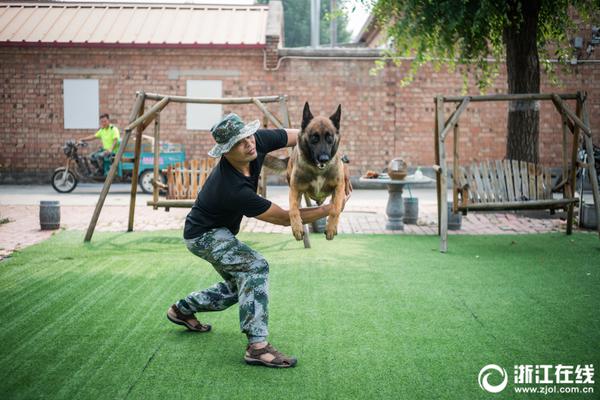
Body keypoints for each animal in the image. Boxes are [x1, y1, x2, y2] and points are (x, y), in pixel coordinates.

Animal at [288, 103, 344, 241]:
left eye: (330, 138)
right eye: (314, 137)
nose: (324, 159)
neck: (317, 170)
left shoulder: (339, 186)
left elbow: (335, 208)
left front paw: (331, 228)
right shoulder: (295, 188)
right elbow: (293, 209)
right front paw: (297, 228)